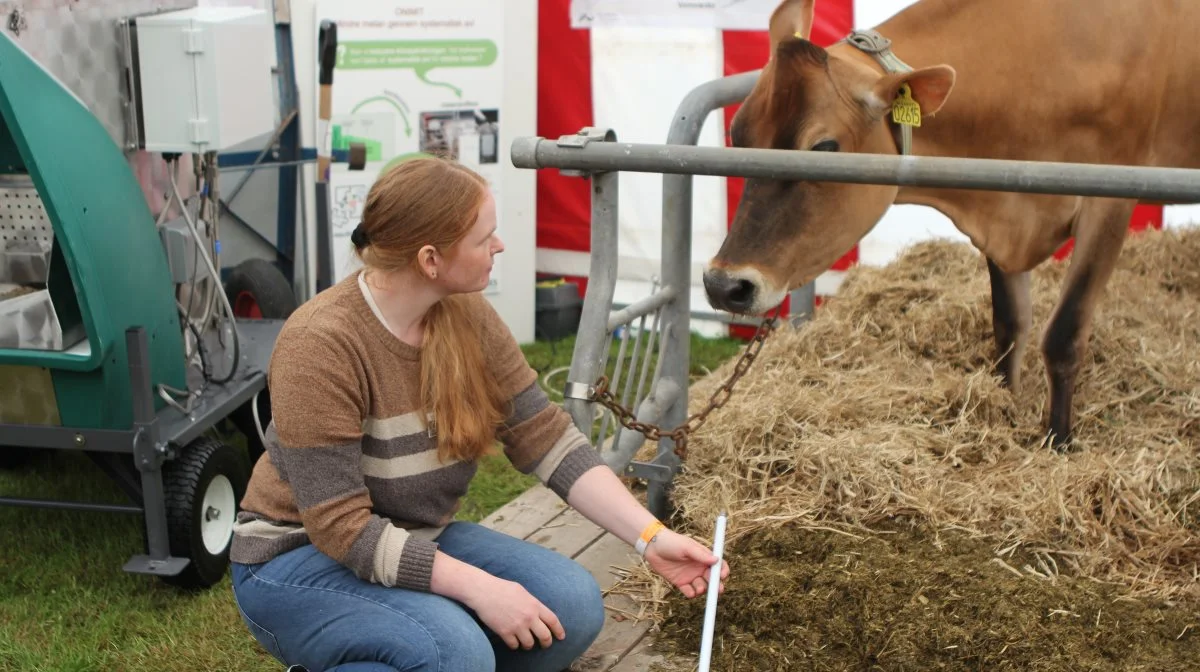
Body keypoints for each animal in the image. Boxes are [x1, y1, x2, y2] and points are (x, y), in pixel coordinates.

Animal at [700, 0, 1190, 451]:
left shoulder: (1110, 200)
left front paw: (1058, 443)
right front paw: (1004, 404)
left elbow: (1064, 335)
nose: (725, 285)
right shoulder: (1000, 200)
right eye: (738, 133)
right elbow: (1009, 322)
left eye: (823, 148)